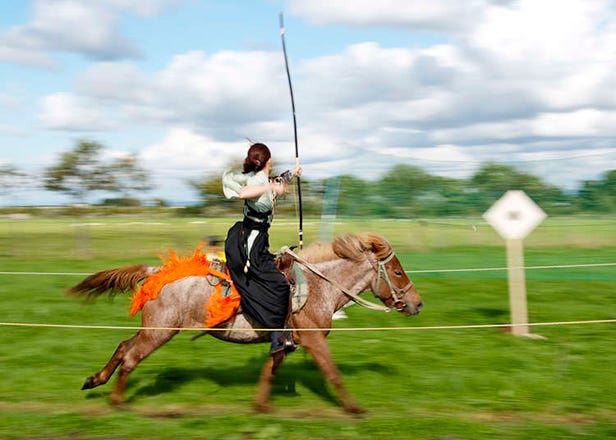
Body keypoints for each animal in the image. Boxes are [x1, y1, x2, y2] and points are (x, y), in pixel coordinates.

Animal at [68, 232, 424, 414]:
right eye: (397, 271)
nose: (417, 303)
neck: (319, 285)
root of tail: (157, 272)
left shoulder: (284, 342)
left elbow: (269, 372)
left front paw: (260, 405)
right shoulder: (314, 340)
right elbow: (333, 374)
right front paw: (354, 408)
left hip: (154, 329)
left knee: (123, 346)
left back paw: (94, 380)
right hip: (160, 332)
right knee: (131, 356)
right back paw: (116, 401)